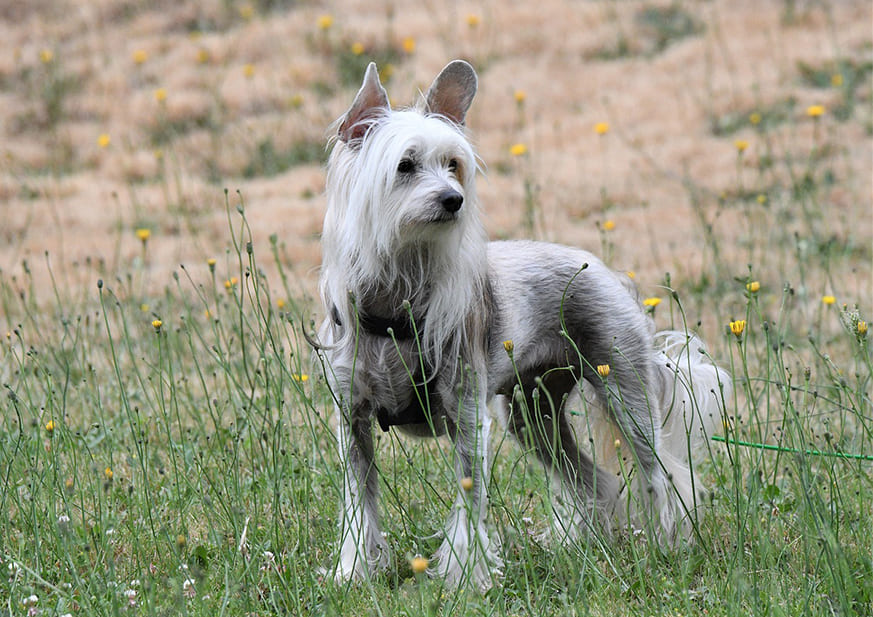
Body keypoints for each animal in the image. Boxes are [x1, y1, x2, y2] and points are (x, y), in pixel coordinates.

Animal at [314, 60, 728, 588]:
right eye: (405, 166)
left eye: (453, 164)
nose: (453, 200)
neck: (396, 304)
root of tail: (608, 273)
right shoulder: (354, 420)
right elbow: (358, 504)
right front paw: (353, 573)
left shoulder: (469, 418)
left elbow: (469, 504)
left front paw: (466, 578)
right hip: (534, 415)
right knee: (593, 480)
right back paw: (584, 546)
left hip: (625, 395)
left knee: (664, 478)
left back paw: (669, 548)